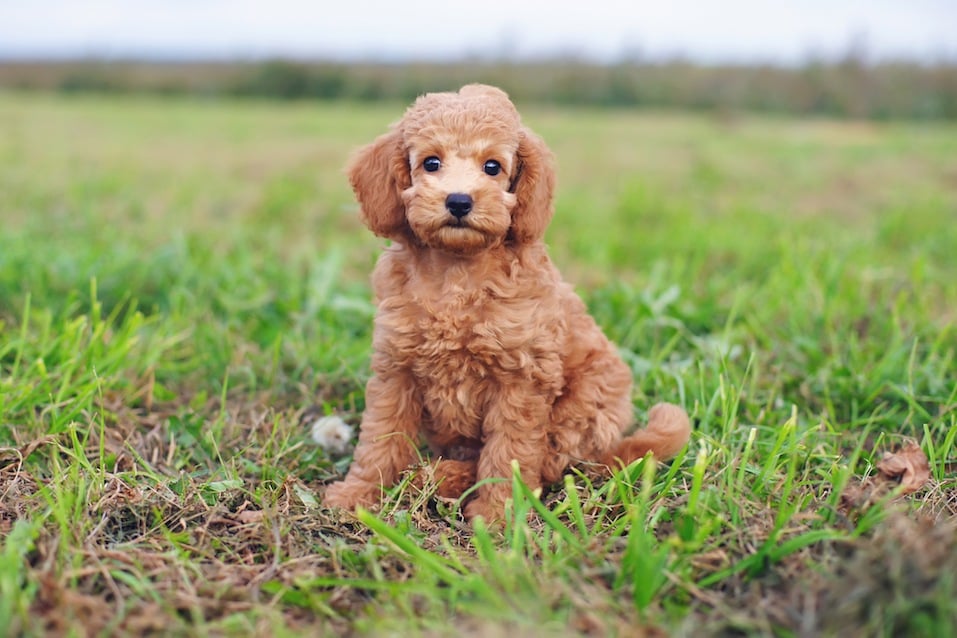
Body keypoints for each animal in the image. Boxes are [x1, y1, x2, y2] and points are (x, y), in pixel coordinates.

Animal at [324, 85, 692, 524]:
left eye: (493, 166)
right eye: (431, 163)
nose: (459, 201)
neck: (457, 272)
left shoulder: (522, 379)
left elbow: (510, 452)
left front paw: (498, 515)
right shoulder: (396, 370)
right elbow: (380, 438)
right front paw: (358, 494)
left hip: (584, 406)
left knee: (550, 463)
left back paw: (440, 477)